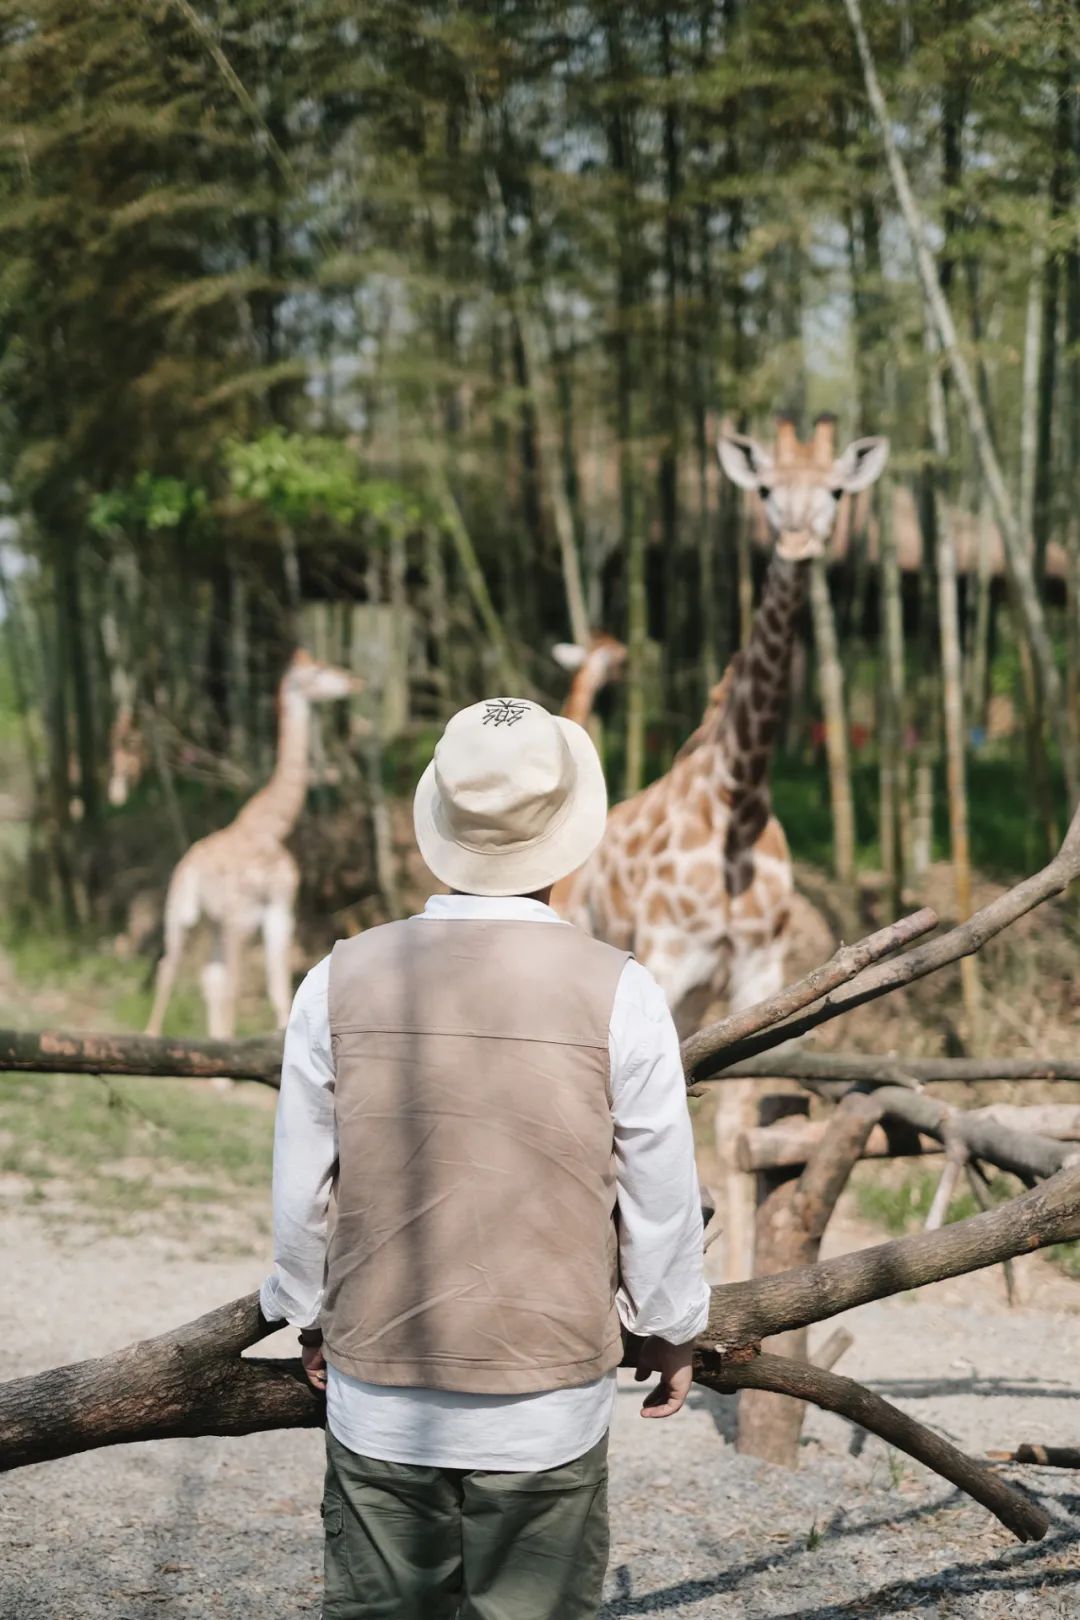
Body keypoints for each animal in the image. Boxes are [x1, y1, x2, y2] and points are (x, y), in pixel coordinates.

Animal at [145, 644, 365, 1036]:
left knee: (208, 978)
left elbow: (278, 990)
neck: (270, 828)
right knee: (173, 968)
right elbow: (250, 988)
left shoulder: (277, 909)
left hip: (214, 923)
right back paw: (152, 1035)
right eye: (318, 670)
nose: (355, 681)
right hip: (185, 912)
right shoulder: (250, 914)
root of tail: (186, 862)